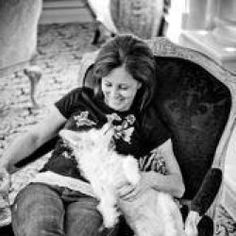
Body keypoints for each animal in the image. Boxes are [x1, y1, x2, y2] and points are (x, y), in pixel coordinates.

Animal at [59, 123, 190, 236]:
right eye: (98, 129)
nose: (110, 123)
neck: (102, 160)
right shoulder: (104, 190)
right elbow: (104, 203)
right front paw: (109, 219)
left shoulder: (126, 161)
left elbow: (128, 162)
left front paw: (134, 178)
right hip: (142, 231)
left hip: (165, 201)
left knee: (171, 225)